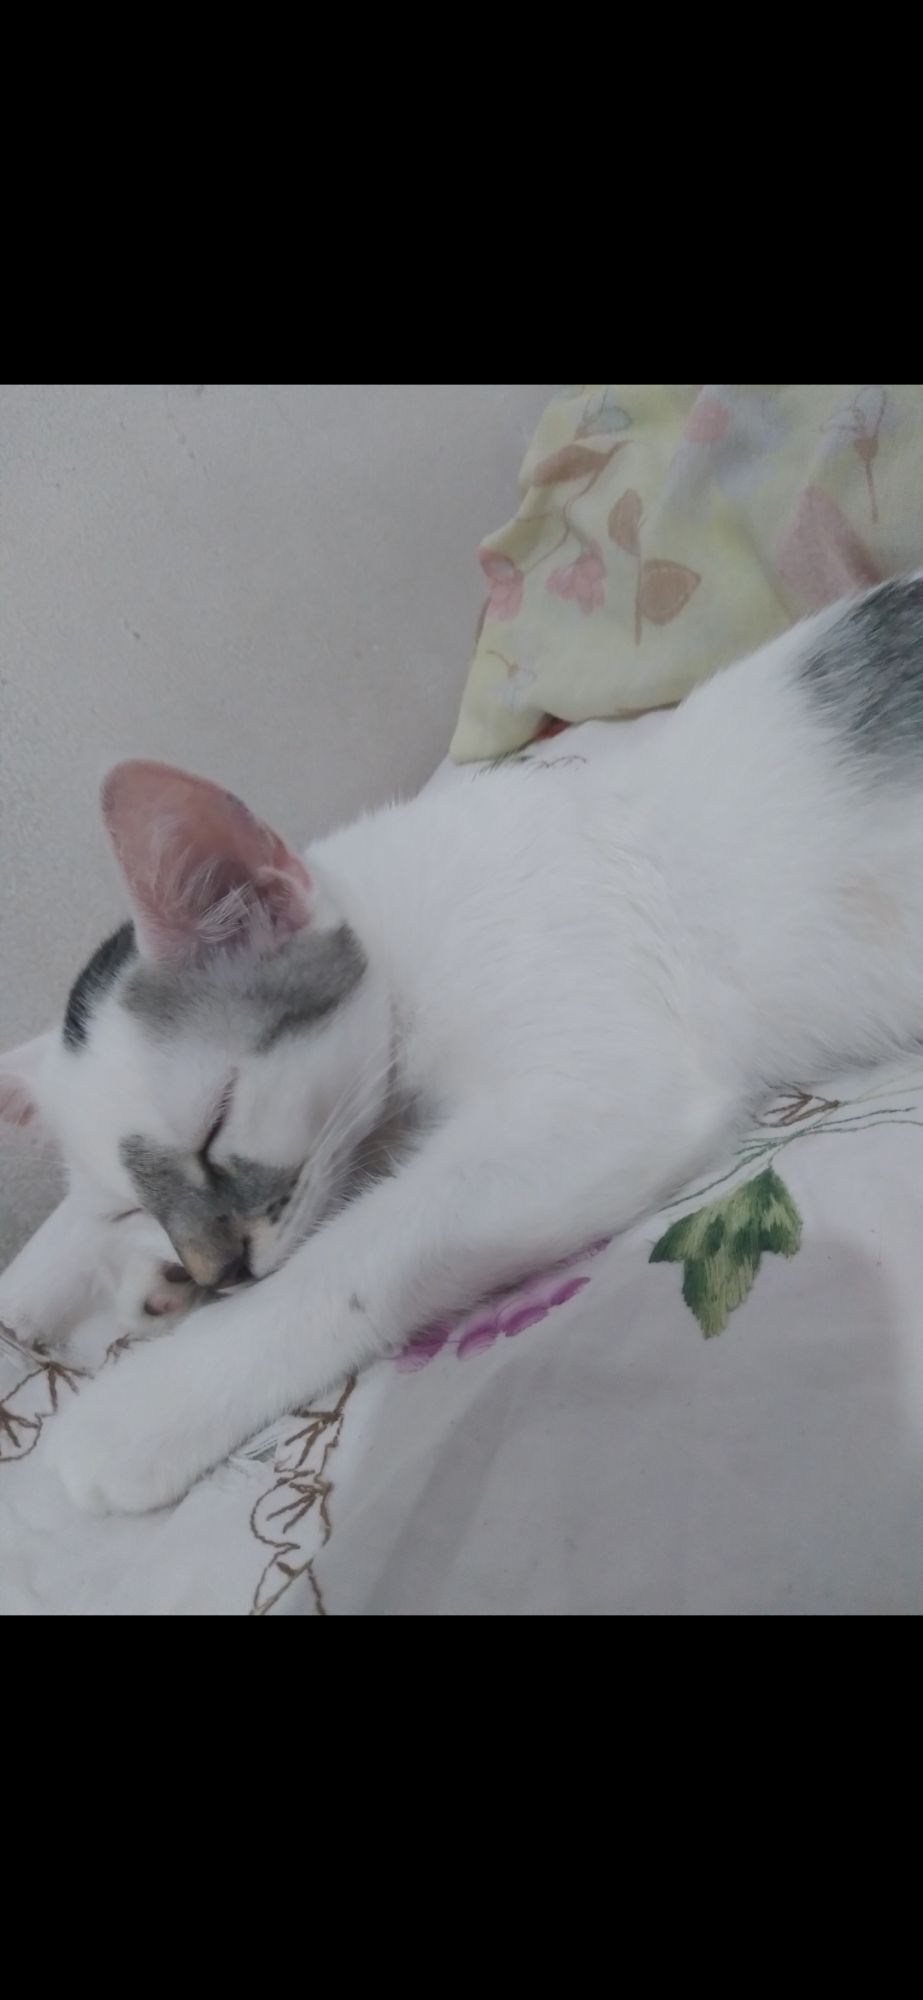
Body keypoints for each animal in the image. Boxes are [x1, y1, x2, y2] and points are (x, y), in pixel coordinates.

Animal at [5, 572, 923, 1516]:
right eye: (130, 1203)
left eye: (214, 1127)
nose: (219, 1270)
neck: (399, 931)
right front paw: (91, 1270)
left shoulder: (607, 1092)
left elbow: (360, 1255)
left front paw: (148, 1406)